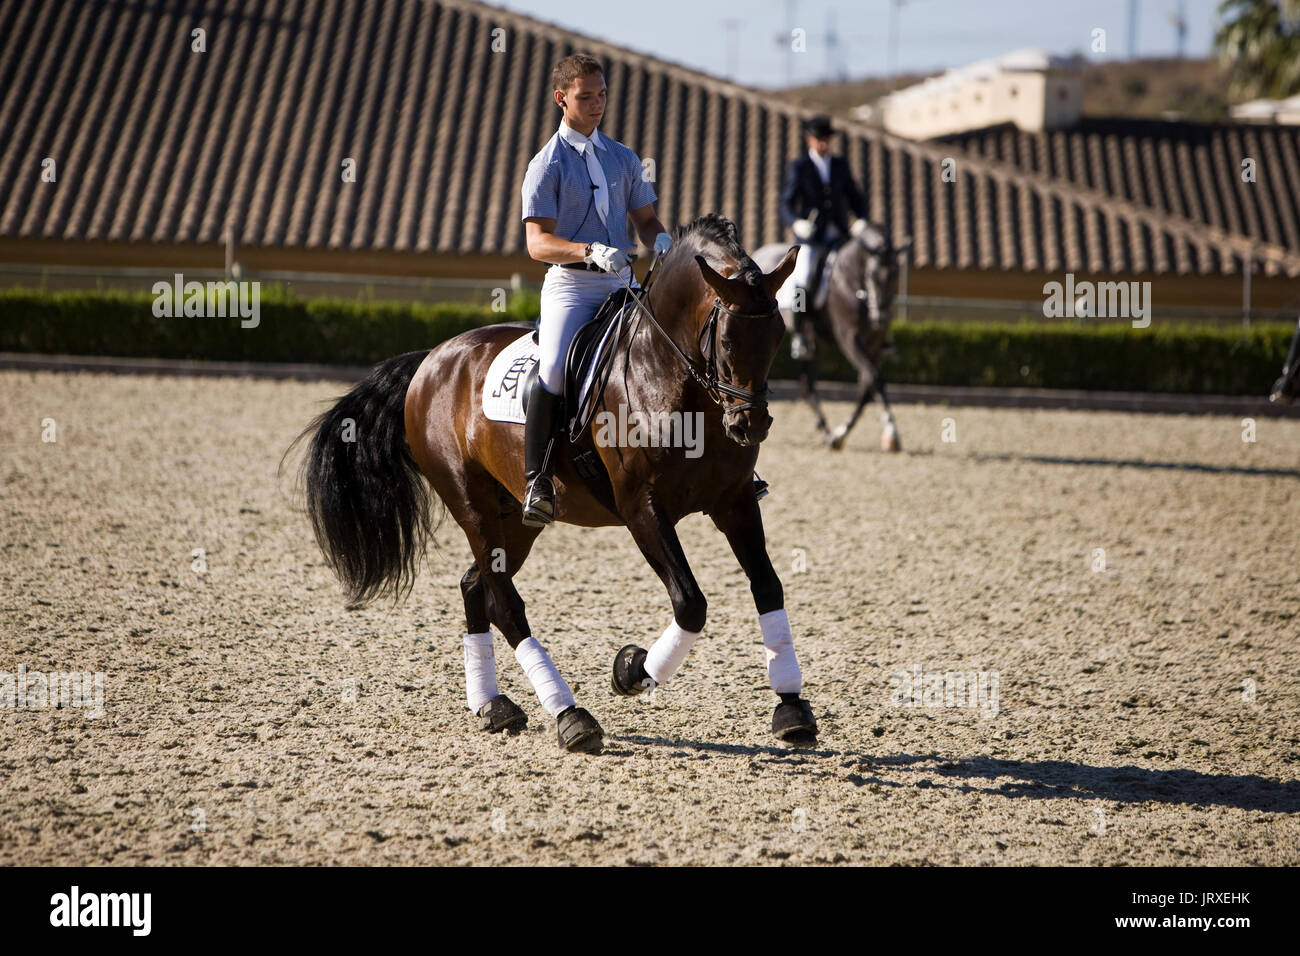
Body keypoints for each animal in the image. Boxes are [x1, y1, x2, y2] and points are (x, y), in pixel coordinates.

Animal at [295, 217, 811, 754]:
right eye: (727, 340)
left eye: (777, 336)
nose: (751, 425)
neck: (671, 379)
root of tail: (432, 358)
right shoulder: (642, 508)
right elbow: (690, 603)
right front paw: (631, 670)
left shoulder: (734, 501)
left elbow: (768, 586)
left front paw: (792, 708)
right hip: (471, 502)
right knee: (505, 603)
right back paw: (570, 715)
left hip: (517, 516)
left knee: (476, 586)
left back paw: (493, 705)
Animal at [748, 222, 909, 450]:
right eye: (872, 275)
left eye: (895, 275)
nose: (881, 318)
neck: (851, 279)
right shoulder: (848, 338)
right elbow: (874, 378)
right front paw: (891, 430)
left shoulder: (874, 346)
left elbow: (867, 387)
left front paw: (841, 434)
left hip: (812, 343)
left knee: (807, 384)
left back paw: (826, 431)